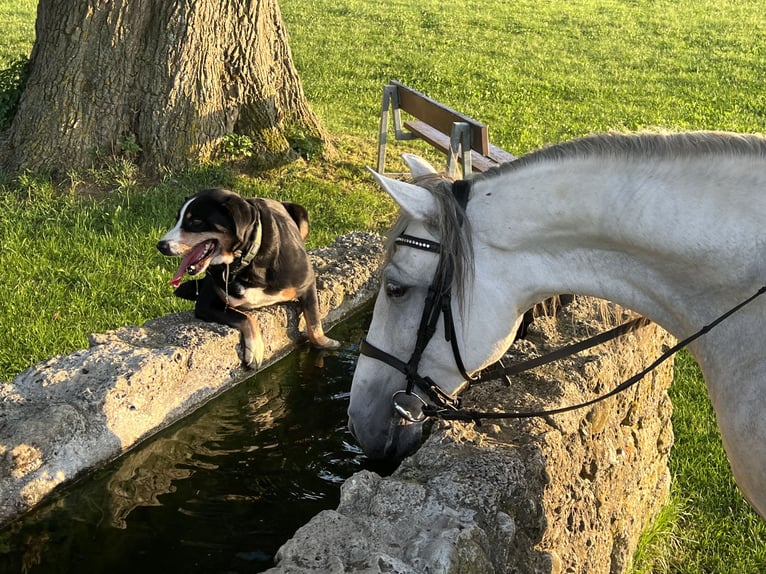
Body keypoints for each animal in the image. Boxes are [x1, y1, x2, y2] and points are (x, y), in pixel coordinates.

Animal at [158, 189, 340, 368]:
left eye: (196, 222)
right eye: (177, 219)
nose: (161, 245)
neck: (245, 261)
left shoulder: (307, 283)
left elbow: (314, 322)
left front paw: (327, 344)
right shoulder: (206, 304)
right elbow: (246, 318)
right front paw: (255, 350)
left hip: (300, 213)